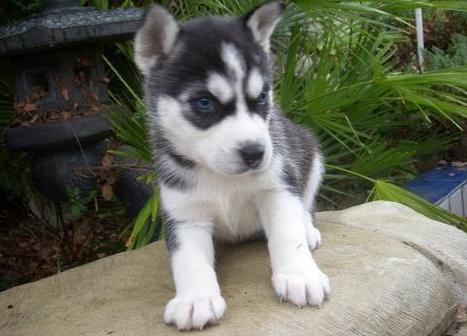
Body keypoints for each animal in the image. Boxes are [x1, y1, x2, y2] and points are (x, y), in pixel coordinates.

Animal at [134, 0, 332, 330]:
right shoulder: (185, 214)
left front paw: (300, 275)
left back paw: (307, 228)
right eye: (204, 103)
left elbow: (287, 233)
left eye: (262, 96)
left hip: (310, 153)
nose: (255, 153)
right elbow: (188, 260)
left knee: (305, 204)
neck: (219, 175)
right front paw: (195, 300)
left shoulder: (278, 188)